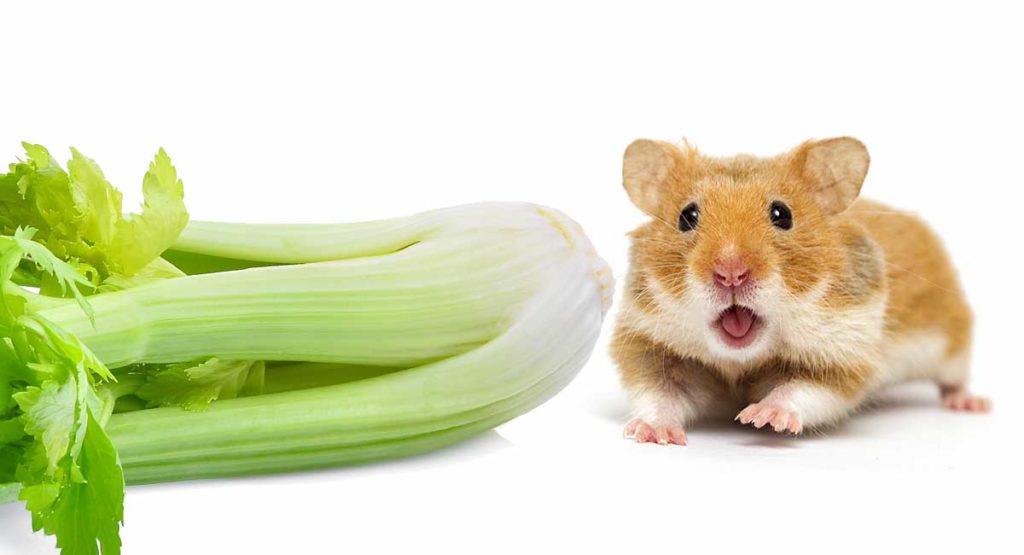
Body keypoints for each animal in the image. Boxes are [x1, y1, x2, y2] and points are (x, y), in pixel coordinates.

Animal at [611, 137, 990, 445]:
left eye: (782, 214)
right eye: (686, 216)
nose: (731, 273)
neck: (741, 360)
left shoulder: (843, 355)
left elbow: (802, 389)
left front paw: (761, 417)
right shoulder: (651, 345)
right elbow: (660, 394)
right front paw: (653, 433)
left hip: (953, 344)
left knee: (954, 378)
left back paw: (971, 403)